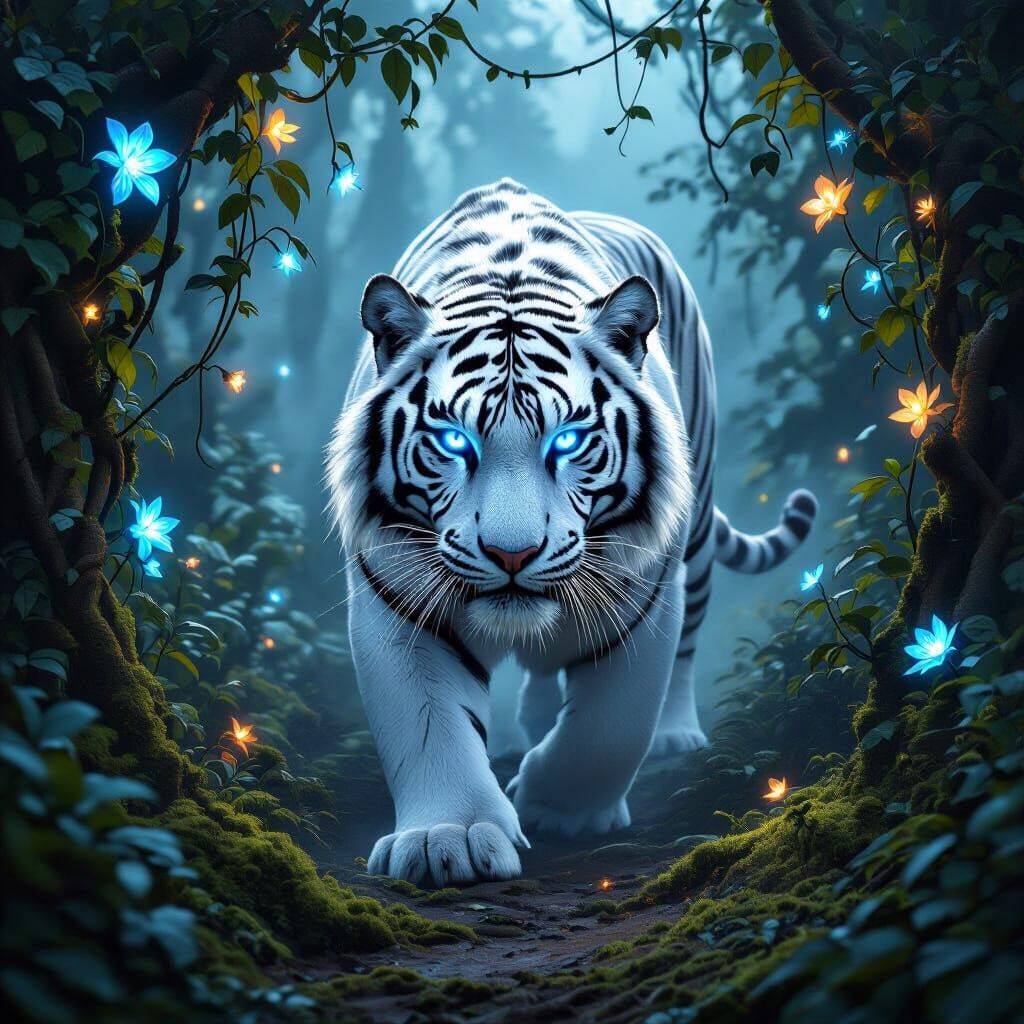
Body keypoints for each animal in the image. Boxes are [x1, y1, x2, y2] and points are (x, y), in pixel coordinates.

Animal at [327, 179, 817, 886]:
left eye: (568, 441)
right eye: (454, 441)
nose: (512, 553)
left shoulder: (645, 585)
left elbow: (610, 727)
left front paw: (560, 809)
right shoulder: (396, 591)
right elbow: (430, 724)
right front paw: (452, 837)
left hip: (695, 529)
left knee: (686, 646)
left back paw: (673, 734)